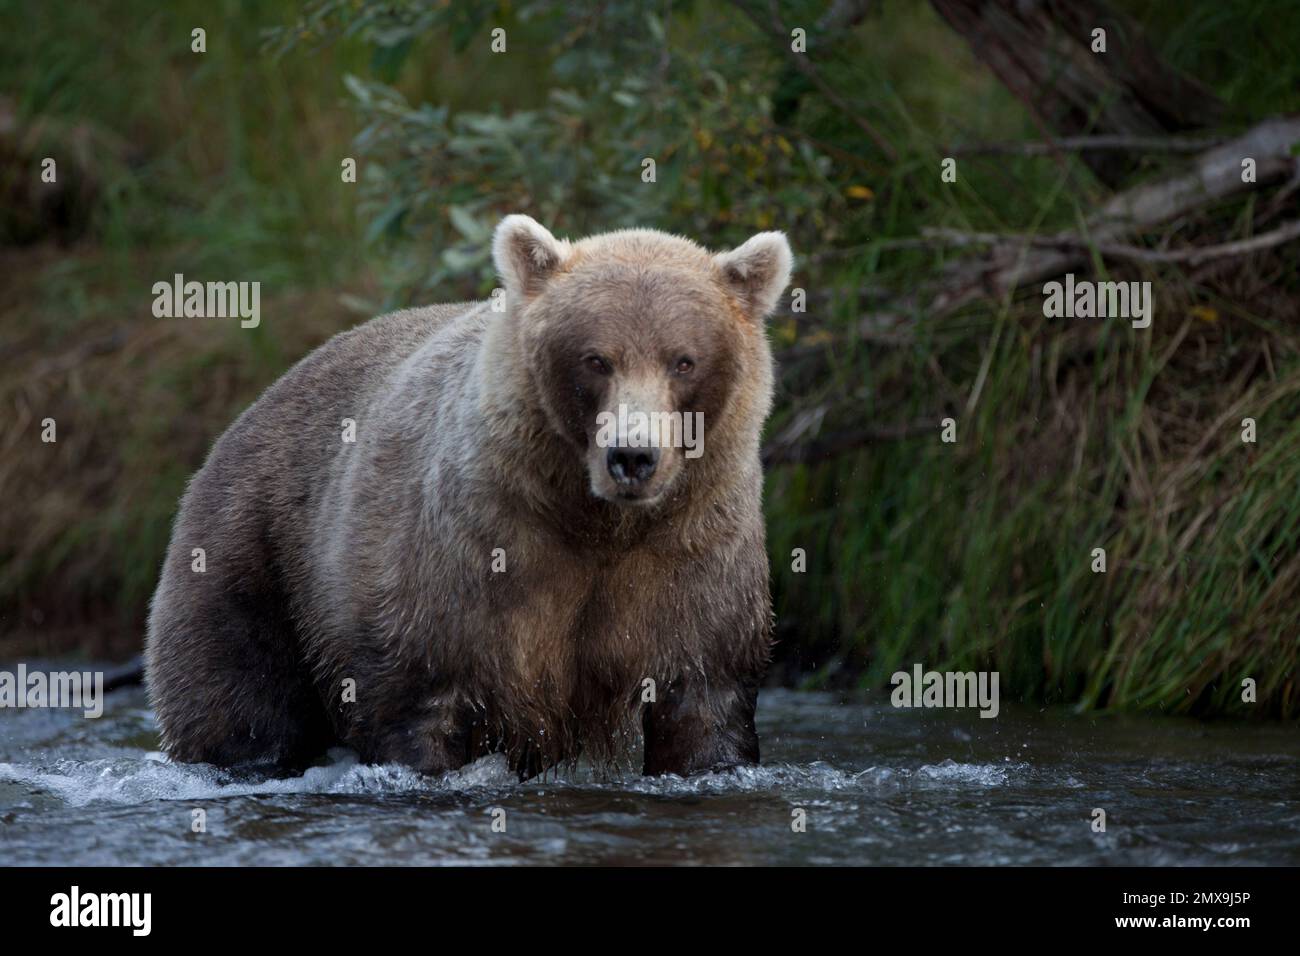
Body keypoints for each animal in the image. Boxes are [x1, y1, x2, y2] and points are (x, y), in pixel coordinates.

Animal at [143, 214, 790, 780]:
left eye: (683, 360)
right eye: (596, 359)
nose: (632, 456)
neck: (591, 521)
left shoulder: (690, 553)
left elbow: (703, 699)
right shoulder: (467, 556)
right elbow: (420, 696)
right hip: (256, 550)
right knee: (239, 697)